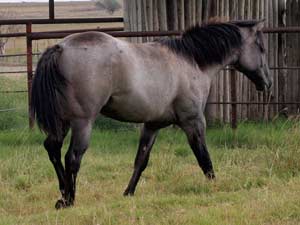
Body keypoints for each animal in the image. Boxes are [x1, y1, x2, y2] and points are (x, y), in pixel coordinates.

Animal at [30, 20, 272, 208]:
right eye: (261, 48)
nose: (267, 83)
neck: (191, 61)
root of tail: (60, 47)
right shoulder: (193, 122)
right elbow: (203, 157)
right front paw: (215, 186)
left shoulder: (152, 125)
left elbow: (141, 160)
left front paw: (128, 193)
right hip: (82, 123)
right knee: (72, 157)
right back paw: (69, 200)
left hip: (63, 122)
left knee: (52, 149)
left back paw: (62, 194)